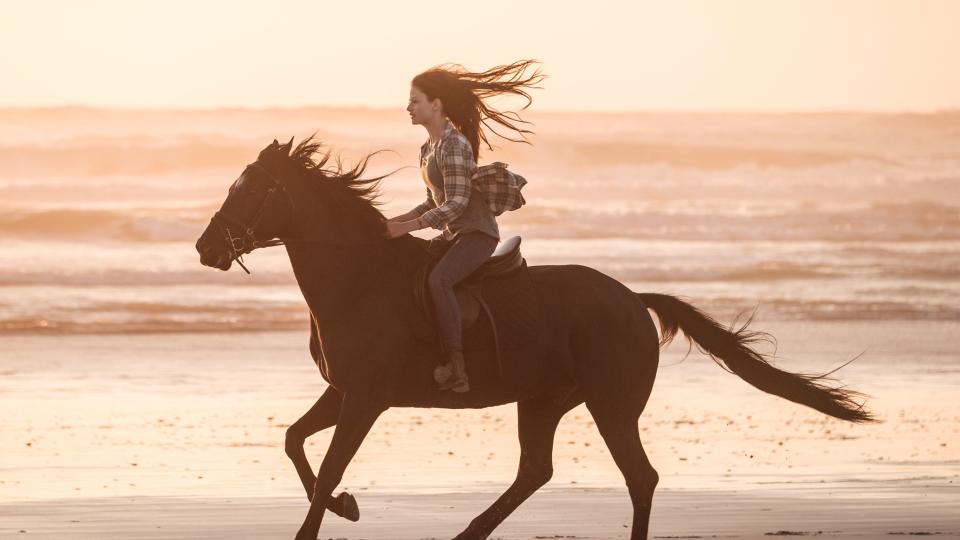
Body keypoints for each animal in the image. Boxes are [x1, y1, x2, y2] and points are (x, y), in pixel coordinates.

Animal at [191, 137, 872, 536]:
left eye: (250, 188)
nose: (204, 248)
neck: (357, 277)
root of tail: (633, 299)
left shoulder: (367, 398)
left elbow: (328, 465)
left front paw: (334, 508)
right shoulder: (345, 392)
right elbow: (295, 443)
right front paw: (347, 505)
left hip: (611, 404)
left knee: (639, 477)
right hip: (544, 400)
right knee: (535, 471)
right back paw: (467, 533)